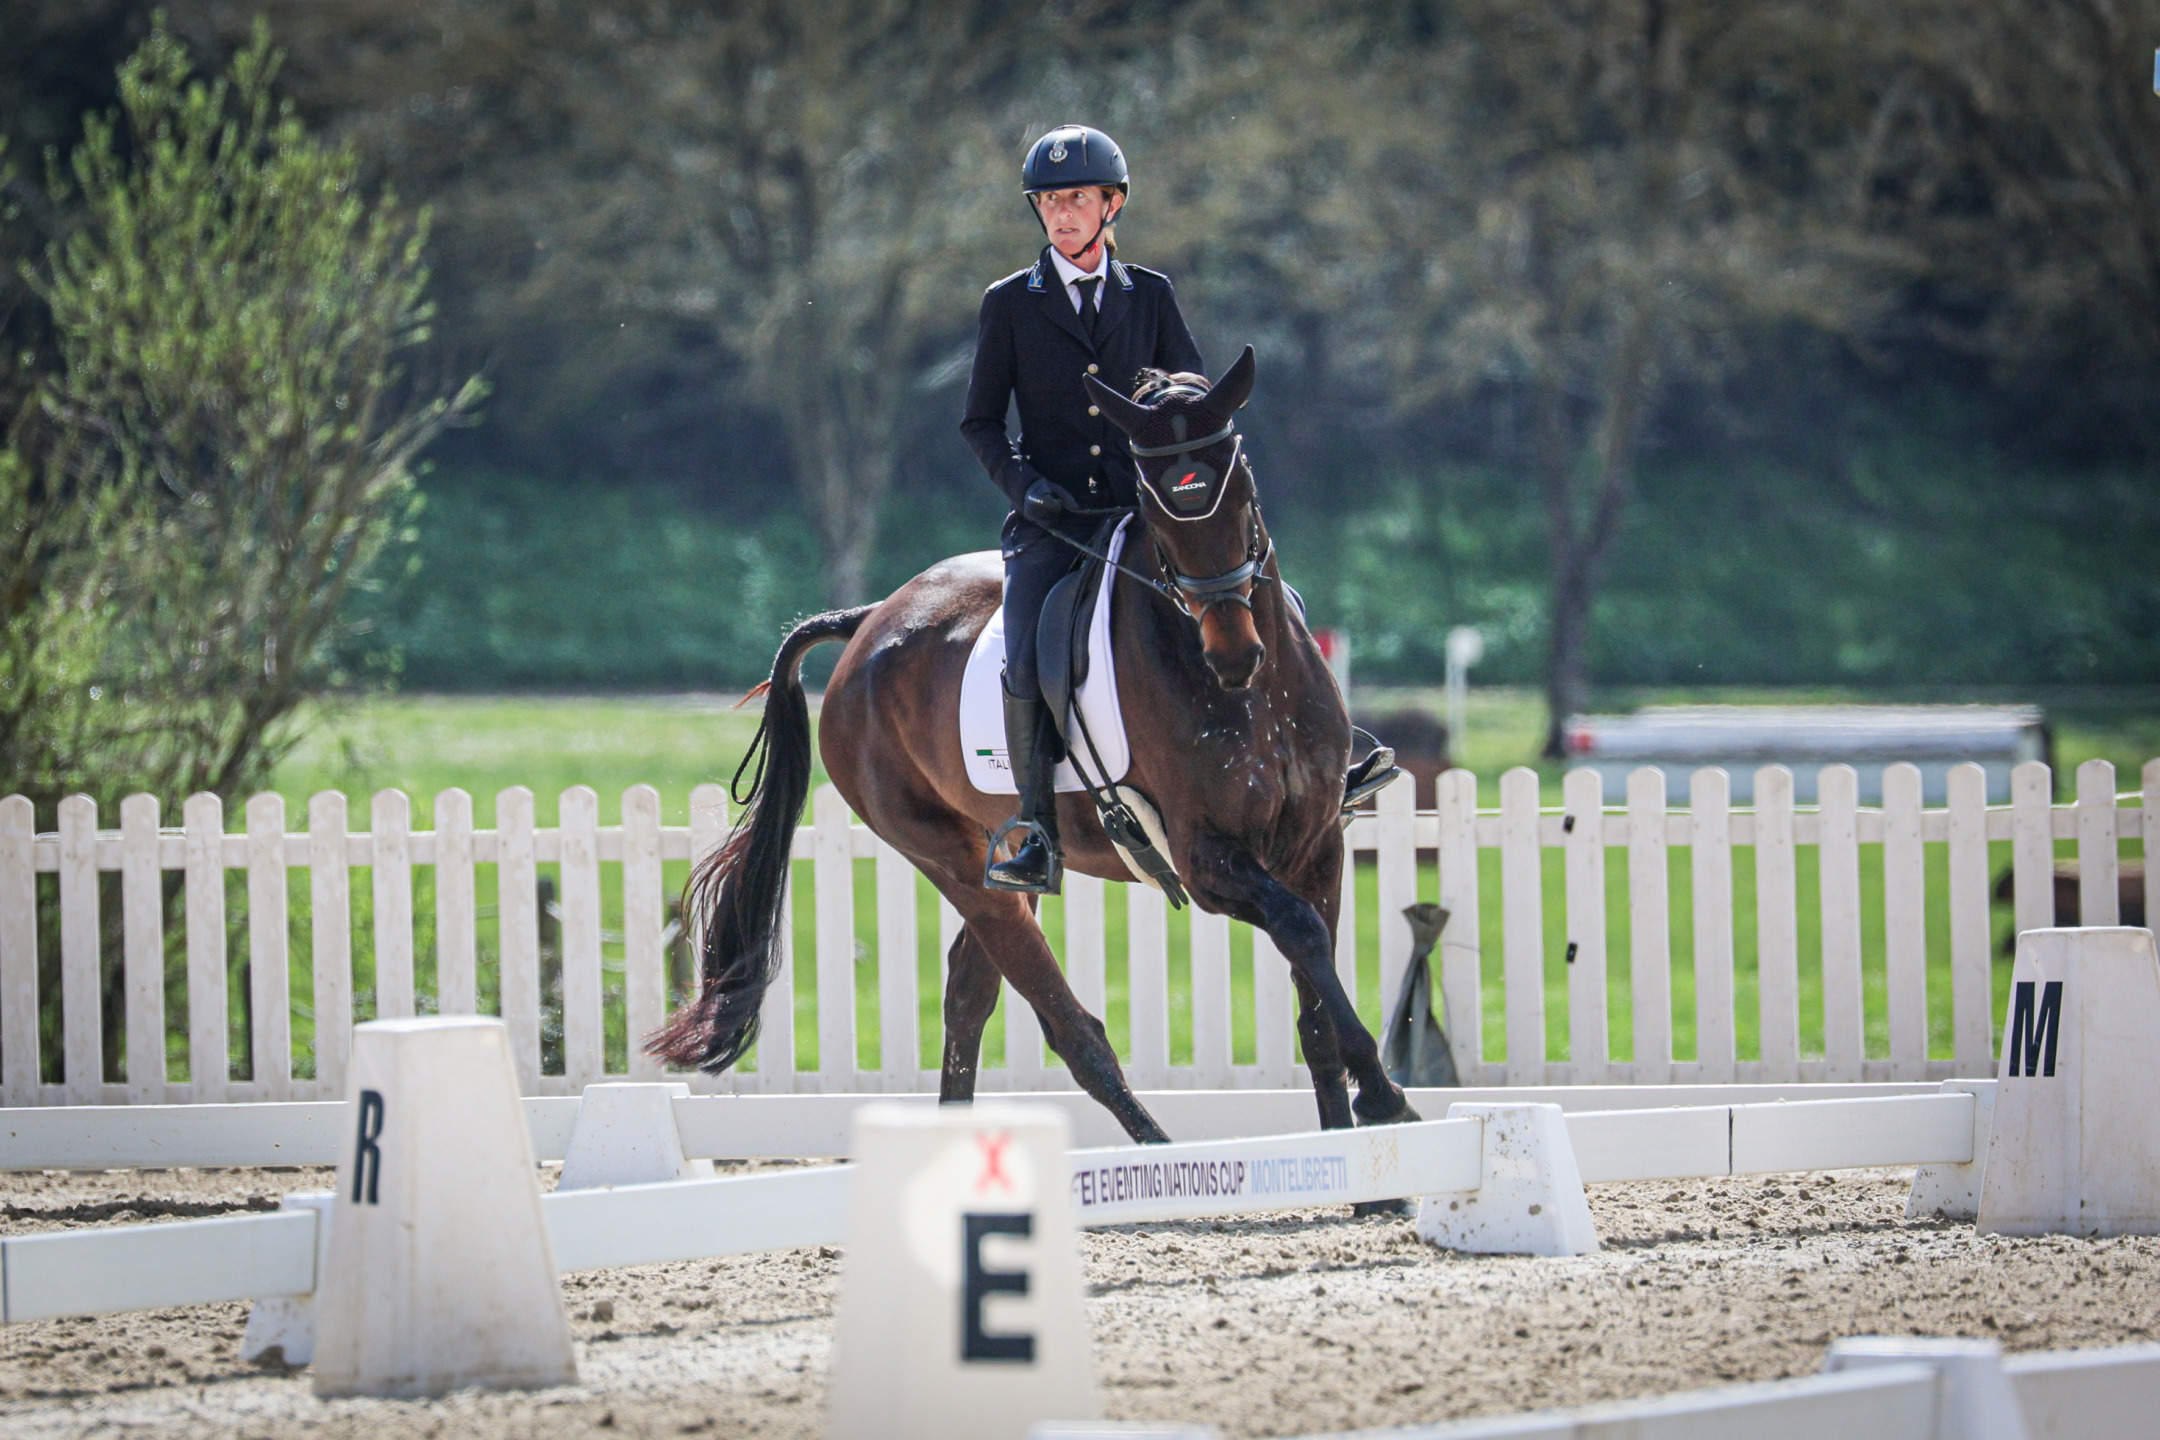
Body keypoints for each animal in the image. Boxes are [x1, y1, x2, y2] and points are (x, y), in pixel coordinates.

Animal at [643, 349, 1416, 1148]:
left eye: (1241, 487)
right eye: (1156, 508)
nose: (1234, 653)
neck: (1247, 694)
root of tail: (869, 620)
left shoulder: (1316, 842)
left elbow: (1314, 995)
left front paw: (1356, 1139)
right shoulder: (1209, 863)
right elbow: (1300, 933)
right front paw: (1384, 1096)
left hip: (999, 861)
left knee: (967, 994)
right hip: (951, 861)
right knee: (1066, 1026)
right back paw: (1155, 1149)